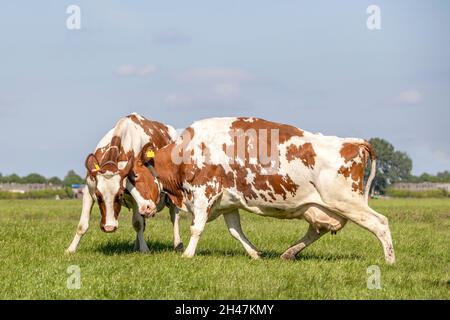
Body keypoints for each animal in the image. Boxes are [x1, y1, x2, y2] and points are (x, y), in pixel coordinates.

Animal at [64, 114, 183, 254]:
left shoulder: (137, 198)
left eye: (120, 194)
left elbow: (137, 223)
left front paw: (144, 249)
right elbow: (82, 225)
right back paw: (136, 246)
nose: (109, 227)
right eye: (98, 196)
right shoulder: (89, 191)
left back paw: (177, 244)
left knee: (174, 217)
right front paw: (71, 249)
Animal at [128, 116, 396, 264]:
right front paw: (255, 254)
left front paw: (187, 255)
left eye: (135, 176)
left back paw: (390, 261)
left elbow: (196, 227)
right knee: (317, 229)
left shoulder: (205, 192)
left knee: (380, 223)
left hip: (346, 201)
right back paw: (288, 253)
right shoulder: (228, 202)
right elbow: (236, 231)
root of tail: (353, 142)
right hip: (320, 206)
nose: (145, 208)